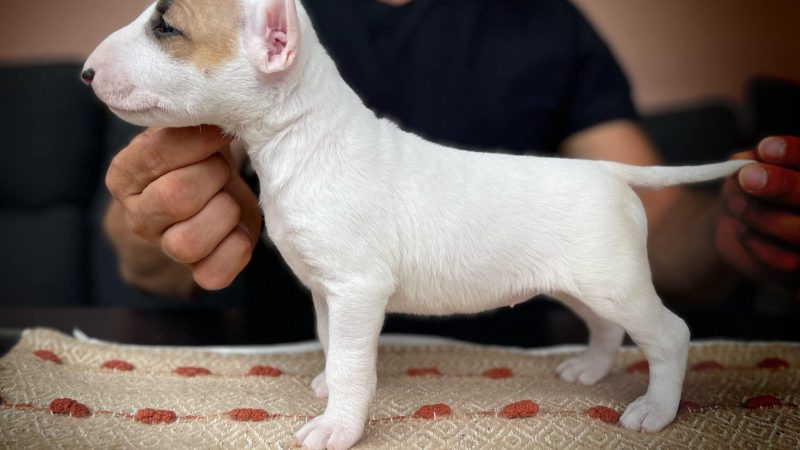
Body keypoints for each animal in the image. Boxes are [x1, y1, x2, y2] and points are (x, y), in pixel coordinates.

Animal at [84, 1, 752, 448]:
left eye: (167, 27)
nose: (86, 72)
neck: (304, 134)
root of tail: (608, 171)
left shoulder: (358, 289)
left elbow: (353, 361)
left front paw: (337, 426)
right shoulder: (328, 290)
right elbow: (331, 344)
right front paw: (326, 386)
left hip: (615, 281)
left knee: (669, 335)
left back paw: (655, 410)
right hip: (580, 283)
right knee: (606, 328)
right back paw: (589, 370)